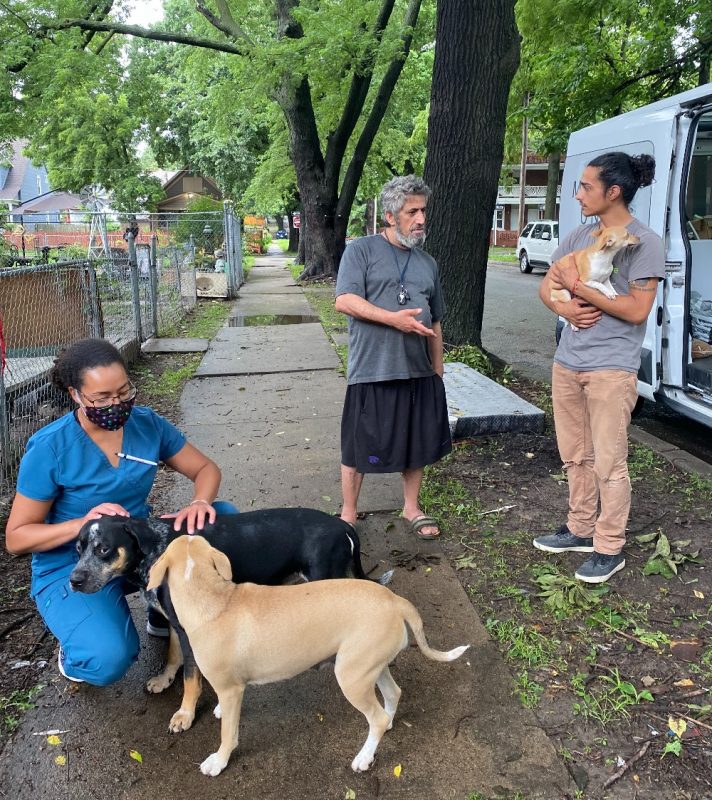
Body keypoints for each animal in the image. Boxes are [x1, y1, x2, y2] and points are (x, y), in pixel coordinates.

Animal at [70, 510, 392, 736]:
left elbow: (191, 678)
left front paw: (185, 715)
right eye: (78, 549)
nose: (73, 580)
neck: (154, 549)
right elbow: (173, 656)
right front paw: (164, 679)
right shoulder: (175, 622)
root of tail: (343, 526)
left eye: (104, 548)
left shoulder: (189, 631)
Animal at [147, 536, 470, 780]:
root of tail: (396, 600)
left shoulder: (230, 690)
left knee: (375, 717)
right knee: (393, 695)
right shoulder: (231, 690)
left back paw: (364, 758)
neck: (214, 598)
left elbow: (228, 734)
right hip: (369, 667)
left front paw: (219, 761)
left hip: (351, 678)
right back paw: (384, 728)